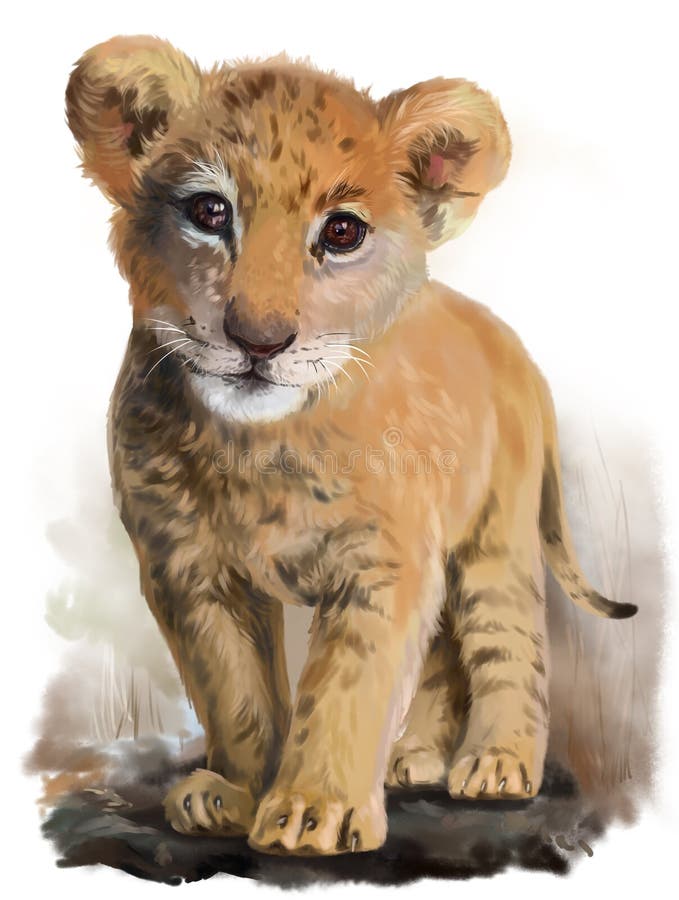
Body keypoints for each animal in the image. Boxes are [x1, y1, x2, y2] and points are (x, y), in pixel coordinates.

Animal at [65, 36, 636, 855]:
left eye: (341, 233)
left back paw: (497, 762)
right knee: (441, 653)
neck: (257, 446)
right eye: (209, 211)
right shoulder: (189, 569)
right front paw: (236, 793)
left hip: (494, 535)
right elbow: (233, 690)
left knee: (508, 638)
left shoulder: (382, 560)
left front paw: (315, 810)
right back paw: (415, 757)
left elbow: (349, 686)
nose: (259, 340)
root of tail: (508, 342)